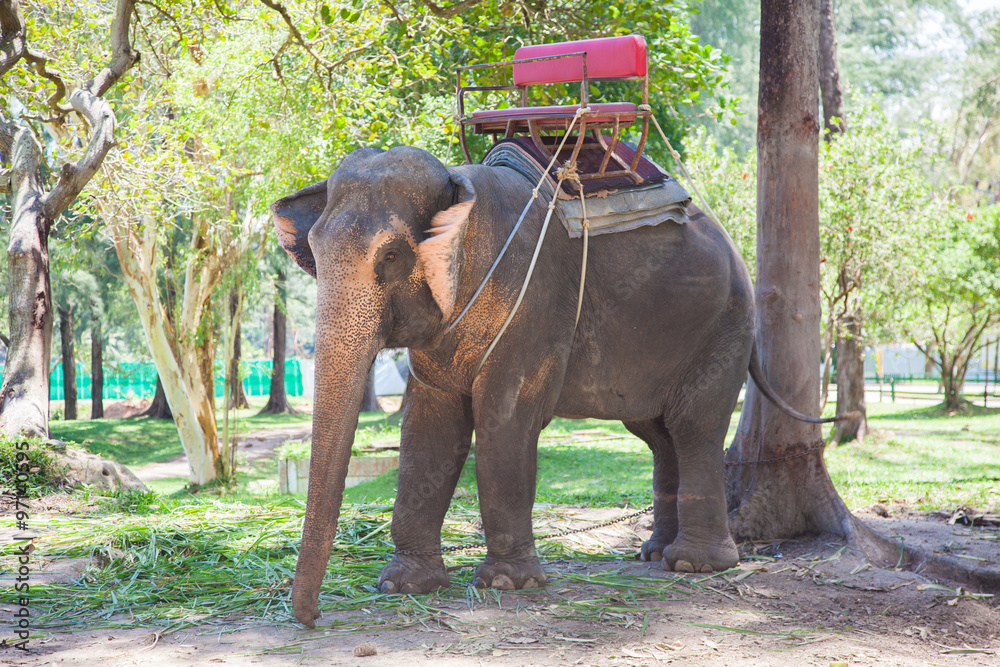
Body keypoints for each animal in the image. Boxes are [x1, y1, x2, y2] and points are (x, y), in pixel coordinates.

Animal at [272, 145, 827, 627]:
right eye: (313, 251)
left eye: (390, 256)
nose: (314, 618)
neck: (461, 185)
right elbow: (429, 428)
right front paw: (404, 586)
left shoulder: (533, 304)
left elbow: (503, 420)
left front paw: (506, 584)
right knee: (658, 433)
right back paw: (654, 554)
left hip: (723, 326)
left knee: (694, 428)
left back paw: (695, 566)